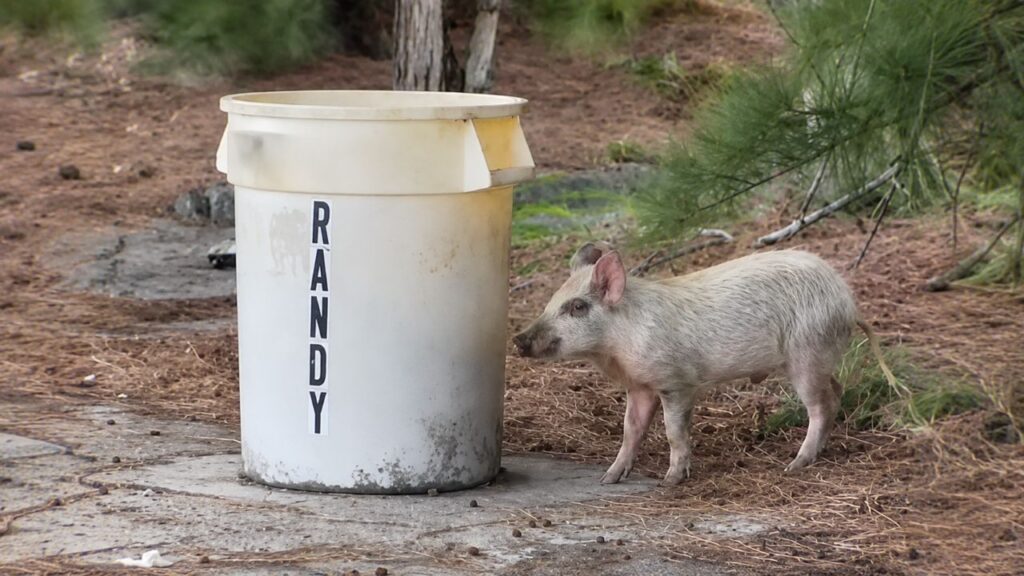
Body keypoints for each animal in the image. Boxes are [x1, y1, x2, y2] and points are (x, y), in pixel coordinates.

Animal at [512, 242, 895, 486]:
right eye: (551, 300)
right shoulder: (640, 386)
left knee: (821, 404)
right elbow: (630, 431)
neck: (618, 348)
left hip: (806, 352)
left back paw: (794, 465)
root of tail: (848, 301)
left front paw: (669, 482)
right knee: (837, 390)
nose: (518, 339)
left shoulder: (676, 382)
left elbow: (673, 431)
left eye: (577, 307)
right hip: (818, 357)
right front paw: (608, 479)